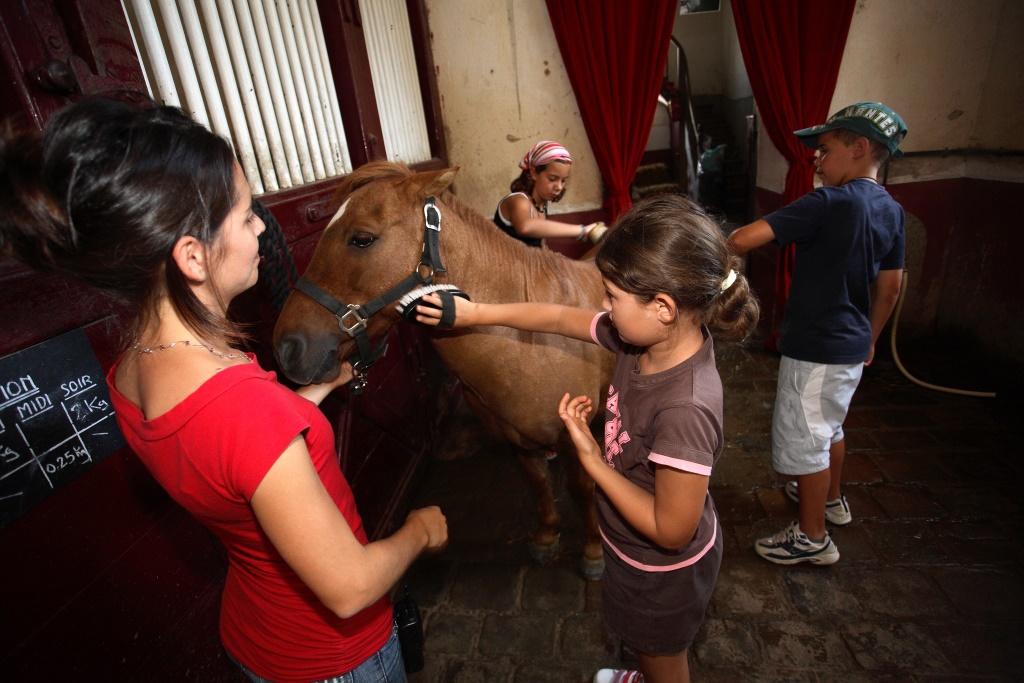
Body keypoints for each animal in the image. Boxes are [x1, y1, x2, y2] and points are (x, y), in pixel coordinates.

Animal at [272, 160, 610, 577]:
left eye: (362, 239)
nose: (287, 348)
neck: (529, 338)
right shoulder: (516, 440)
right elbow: (539, 486)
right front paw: (547, 538)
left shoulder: (572, 440)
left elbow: (583, 492)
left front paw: (593, 551)